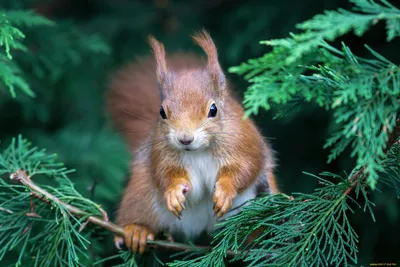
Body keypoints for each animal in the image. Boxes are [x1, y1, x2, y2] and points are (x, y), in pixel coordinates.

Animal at [108, 29, 280, 255]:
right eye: (162, 112)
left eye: (213, 109)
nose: (185, 139)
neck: (200, 150)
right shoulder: (161, 153)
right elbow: (166, 173)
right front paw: (174, 192)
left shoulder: (244, 142)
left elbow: (246, 167)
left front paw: (225, 189)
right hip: (142, 194)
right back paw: (138, 229)